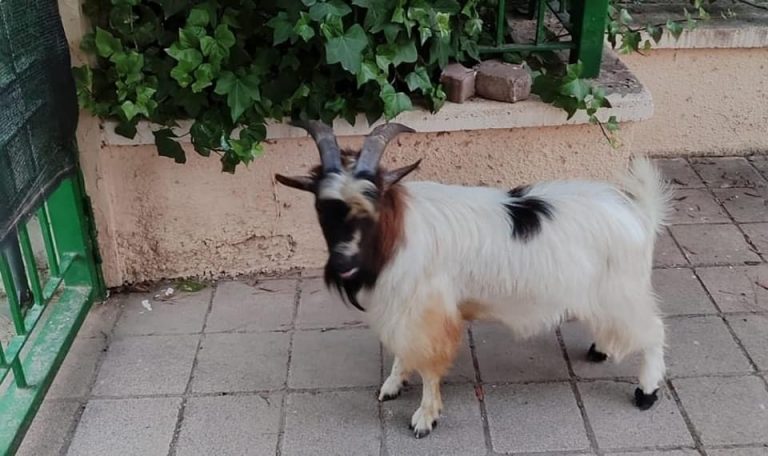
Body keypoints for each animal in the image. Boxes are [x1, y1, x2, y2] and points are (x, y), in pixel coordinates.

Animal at [275, 120, 672, 439]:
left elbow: (429, 363)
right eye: (322, 209)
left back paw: (647, 392)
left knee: (653, 331)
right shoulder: (406, 307)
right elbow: (404, 351)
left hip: (622, 289)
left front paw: (425, 418)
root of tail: (640, 213)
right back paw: (601, 349)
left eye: (371, 206)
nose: (343, 263)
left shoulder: (428, 311)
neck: (398, 231)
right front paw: (393, 384)